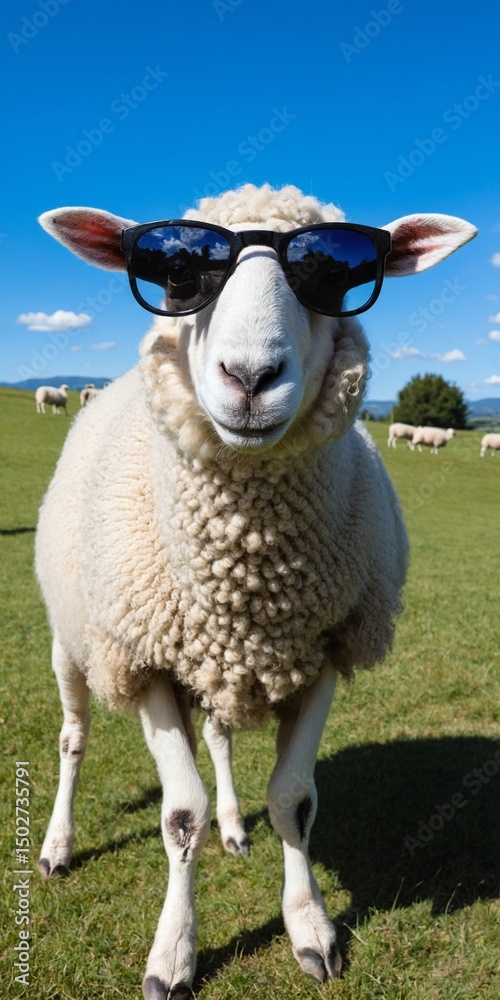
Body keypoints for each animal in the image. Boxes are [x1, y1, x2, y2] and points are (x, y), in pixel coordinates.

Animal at [35, 183, 476, 998]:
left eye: (333, 276)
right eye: (178, 274)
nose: (248, 377)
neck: (250, 573)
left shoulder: (326, 648)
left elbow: (293, 801)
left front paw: (311, 929)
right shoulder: (148, 663)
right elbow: (181, 816)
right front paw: (174, 954)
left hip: (220, 666)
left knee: (220, 735)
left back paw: (237, 829)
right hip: (76, 644)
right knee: (73, 739)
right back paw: (57, 844)